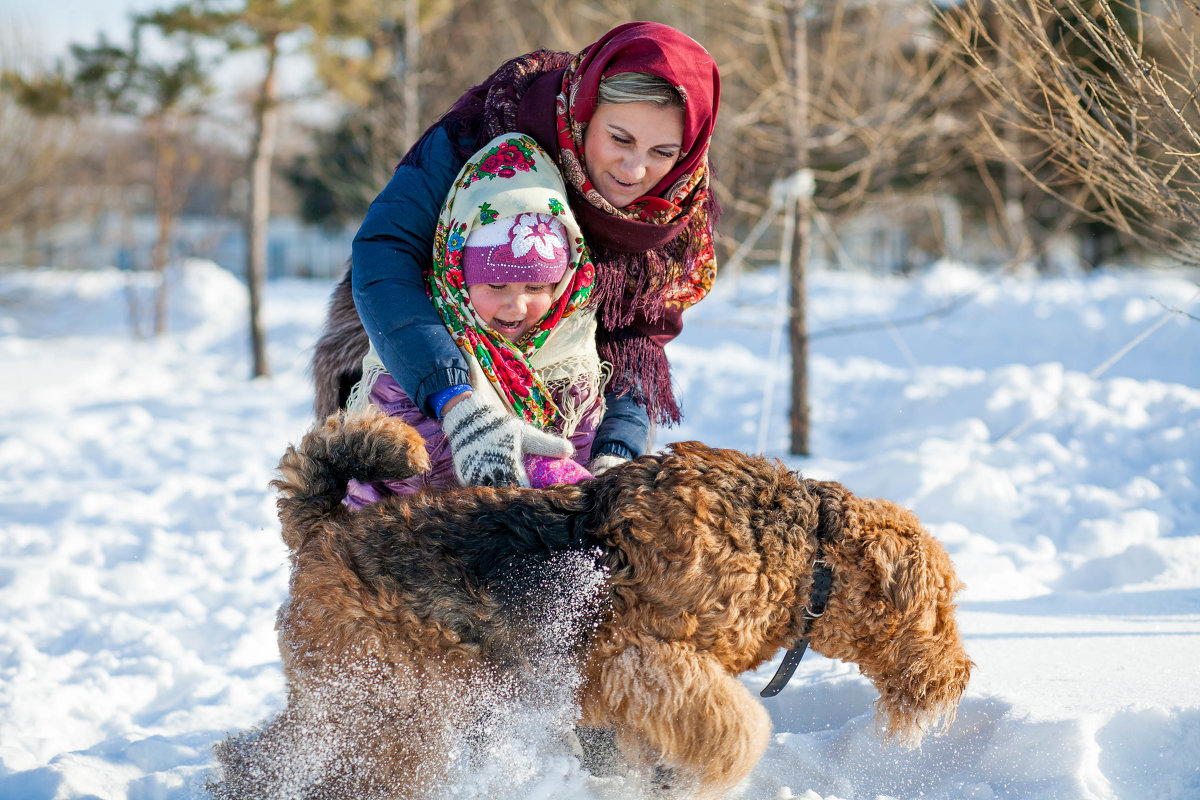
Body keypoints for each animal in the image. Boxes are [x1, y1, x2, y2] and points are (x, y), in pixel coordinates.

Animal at [211, 412, 969, 800]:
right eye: (943, 607)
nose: (961, 679)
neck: (808, 559)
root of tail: (322, 526)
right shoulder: (635, 660)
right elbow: (743, 727)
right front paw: (703, 781)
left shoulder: (635, 693)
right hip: (385, 707)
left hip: (360, 702)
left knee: (259, 753)